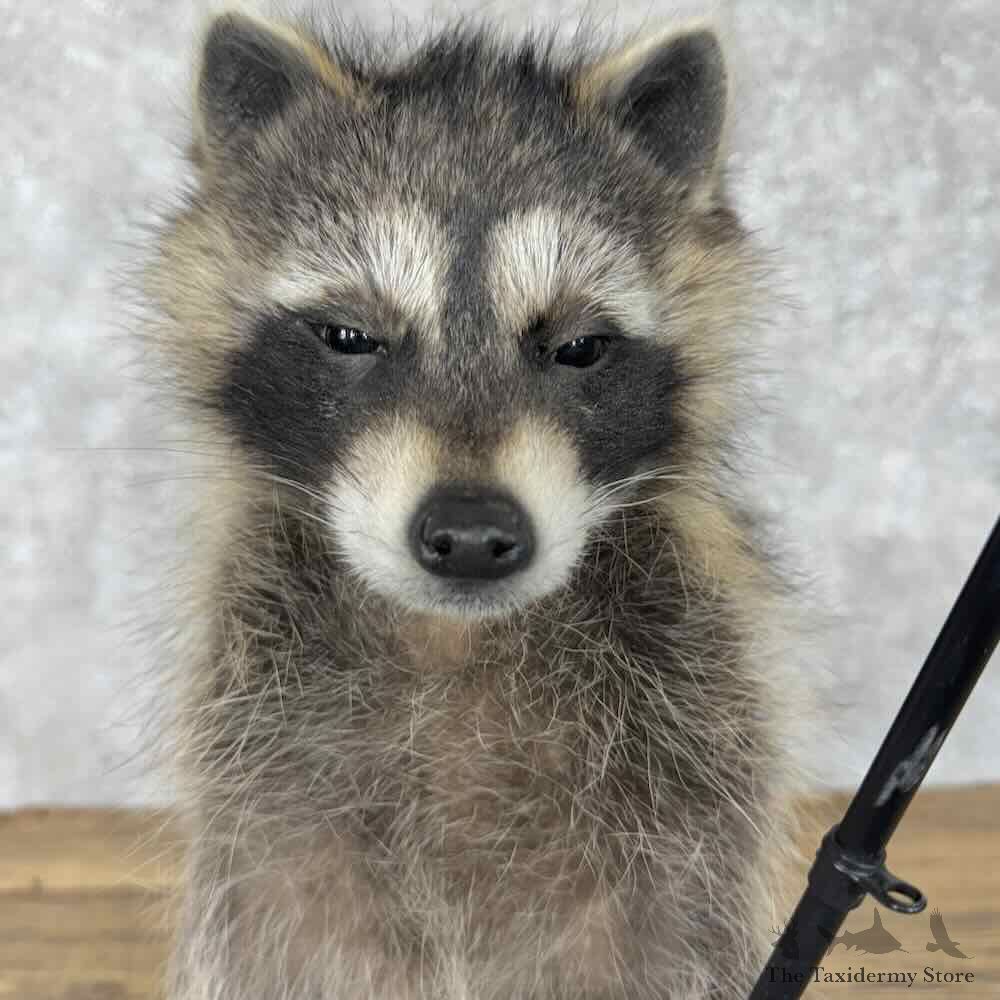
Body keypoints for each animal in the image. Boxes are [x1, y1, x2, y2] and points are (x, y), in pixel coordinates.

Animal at [143, 8, 806, 999]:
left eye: (577, 346)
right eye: (351, 336)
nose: (468, 535)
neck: (453, 636)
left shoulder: (696, 755)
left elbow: (672, 938)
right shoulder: (264, 775)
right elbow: (280, 933)